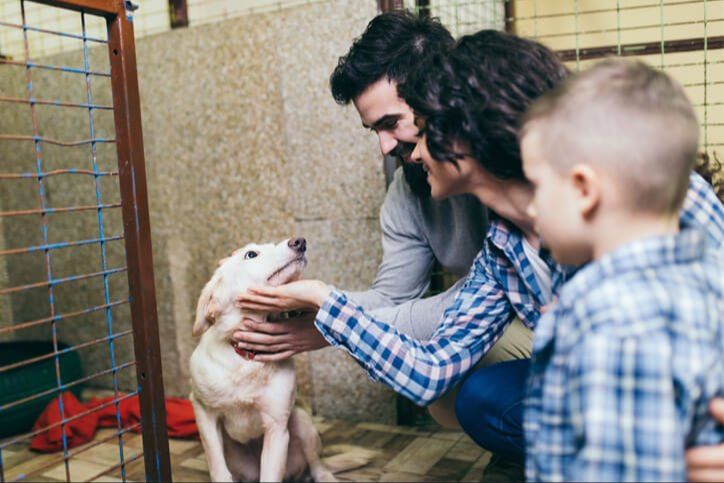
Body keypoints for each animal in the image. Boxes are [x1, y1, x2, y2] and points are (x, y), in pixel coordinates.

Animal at [187, 239, 334, 483]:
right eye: (251, 254)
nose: (300, 241)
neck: (247, 360)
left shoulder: (277, 428)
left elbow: (271, 474)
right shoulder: (203, 411)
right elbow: (217, 467)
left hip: (302, 422)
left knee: (316, 465)